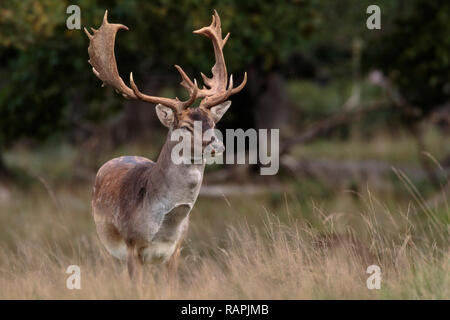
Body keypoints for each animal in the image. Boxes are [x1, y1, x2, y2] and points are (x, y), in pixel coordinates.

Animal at [84, 9, 246, 280]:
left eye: (213, 122)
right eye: (187, 126)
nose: (218, 146)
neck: (164, 229)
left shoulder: (176, 250)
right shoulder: (132, 246)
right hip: (103, 241)